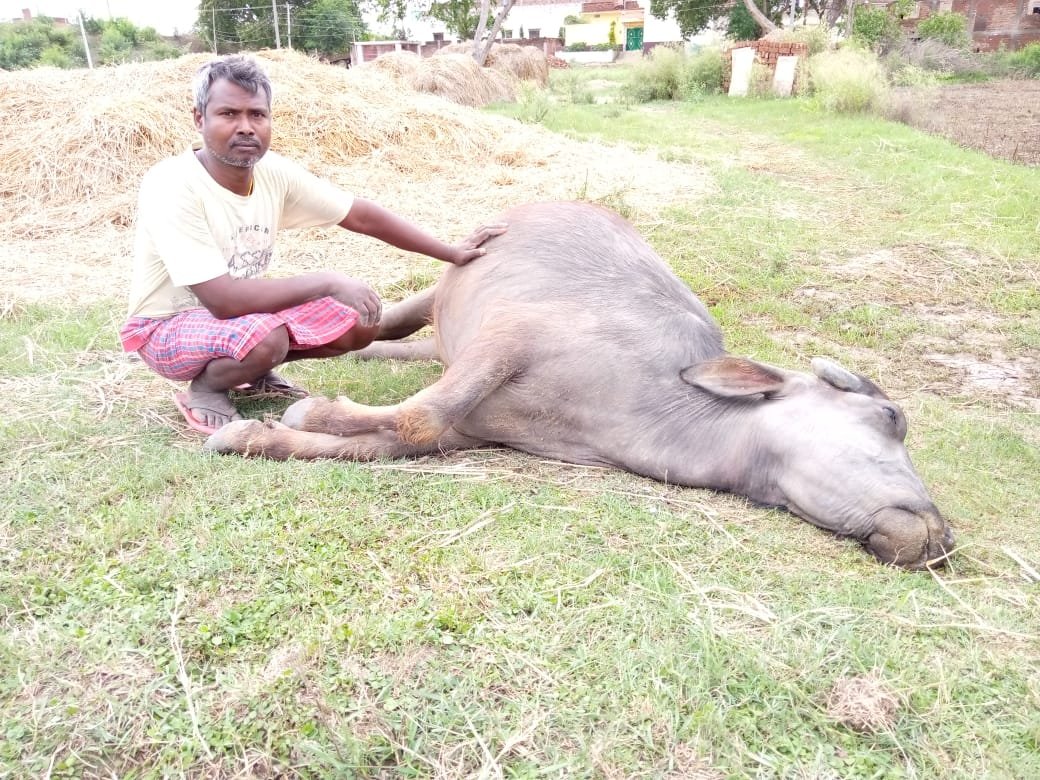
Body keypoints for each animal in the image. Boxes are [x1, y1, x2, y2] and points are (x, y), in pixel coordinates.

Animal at [206, 199, 952, 569]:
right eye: (891, 419)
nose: (940, 538)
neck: (648, 408)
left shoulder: (473, 430)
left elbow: (402, 435)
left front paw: (263, 436)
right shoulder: (509, 340)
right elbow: (417, 415)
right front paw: (298, 416)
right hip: (441, 289)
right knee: (384, 323)